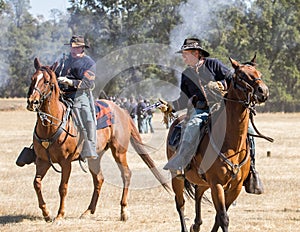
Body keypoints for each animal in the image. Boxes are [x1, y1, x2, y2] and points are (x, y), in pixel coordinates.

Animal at [27, 57, 170, 221]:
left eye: (46, 81)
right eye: (33, 79)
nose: (32, 102)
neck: (52, 125)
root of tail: (122, 111)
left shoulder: (66, 162)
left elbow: (63, 187)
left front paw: (60, 215)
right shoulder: (42, 161)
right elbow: (36, 183)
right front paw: (46, 213)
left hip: (119, 151)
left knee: (126, 174)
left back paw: (123, 210)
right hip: (95, 157)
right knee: (99, 179)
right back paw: (89, 210)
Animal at [166, 55, 270, 231]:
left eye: (259, 73)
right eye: (241, 75)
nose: (263, 91)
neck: (231, 144)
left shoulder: (235, 187)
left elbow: (218, 217)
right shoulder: (217, 184)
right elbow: (223, 218)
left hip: (202, 180)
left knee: (198, 194)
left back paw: (196, 224)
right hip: (177, 178)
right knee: (180, 204)